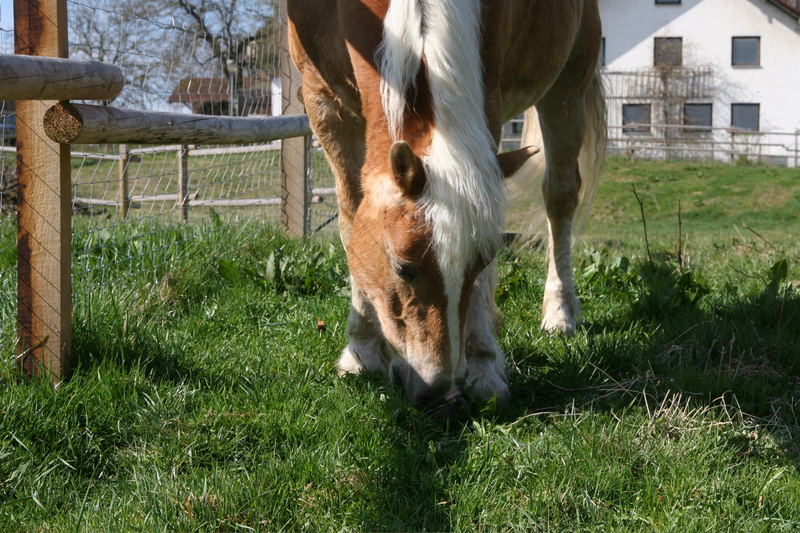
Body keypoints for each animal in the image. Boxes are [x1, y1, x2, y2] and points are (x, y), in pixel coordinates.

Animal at [288, 0, 608, 412]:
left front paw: (485, 365)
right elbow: (350, 219)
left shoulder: (488, 101)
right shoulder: (324, 102)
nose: (440, 391)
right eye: (402, 268)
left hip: (567, 86)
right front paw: (361, 350)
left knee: (560, 198)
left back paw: (560, 311)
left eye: (480, 264)